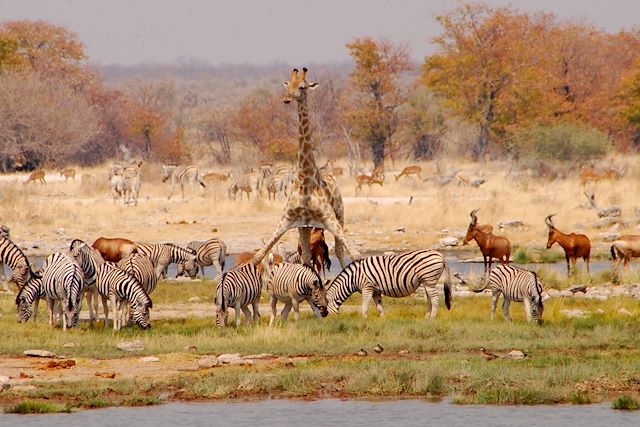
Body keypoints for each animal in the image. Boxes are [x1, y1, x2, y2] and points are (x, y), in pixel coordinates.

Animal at [254, 68, 362, 270]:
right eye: (288, 84)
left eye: (302, 87)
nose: (287, 98)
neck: (305, 178)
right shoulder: (288, 220)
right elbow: (258, 256)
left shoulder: (330, 218)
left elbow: (356, 254)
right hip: (304, 227)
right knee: (306, 257)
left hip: (339, 216)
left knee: (340, 250)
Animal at [324, 249, 456, 320]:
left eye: (323, 307)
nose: (324, 321)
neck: (353, 279)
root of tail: (441, 256)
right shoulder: (376, 290)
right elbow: (379, 306)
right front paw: (383, 320)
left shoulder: (367, 287)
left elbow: (365, 306)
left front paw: (364, 319)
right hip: (427, 282)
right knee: (429, 299)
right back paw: (426, 317)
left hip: (429, 279)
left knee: (435, 299)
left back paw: (432, 318)